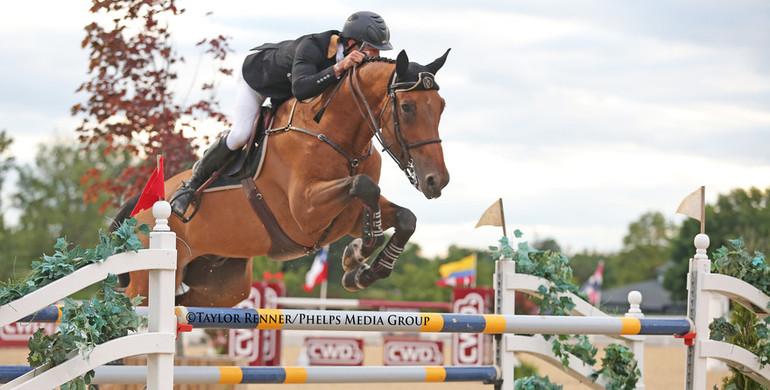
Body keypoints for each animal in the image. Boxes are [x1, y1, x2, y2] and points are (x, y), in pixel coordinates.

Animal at [114, 48, 450, 306]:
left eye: (442, 107)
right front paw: (359, 252)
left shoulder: (347, 216)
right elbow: (364, 186)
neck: (337, 136)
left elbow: (405, 218)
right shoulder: (306, 212)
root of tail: (139, 207)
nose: (437, 181)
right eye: (406, 107)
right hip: (146, 282)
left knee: (181, 306)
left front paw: (360, 269)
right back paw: (182, 198)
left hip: (222, 288)